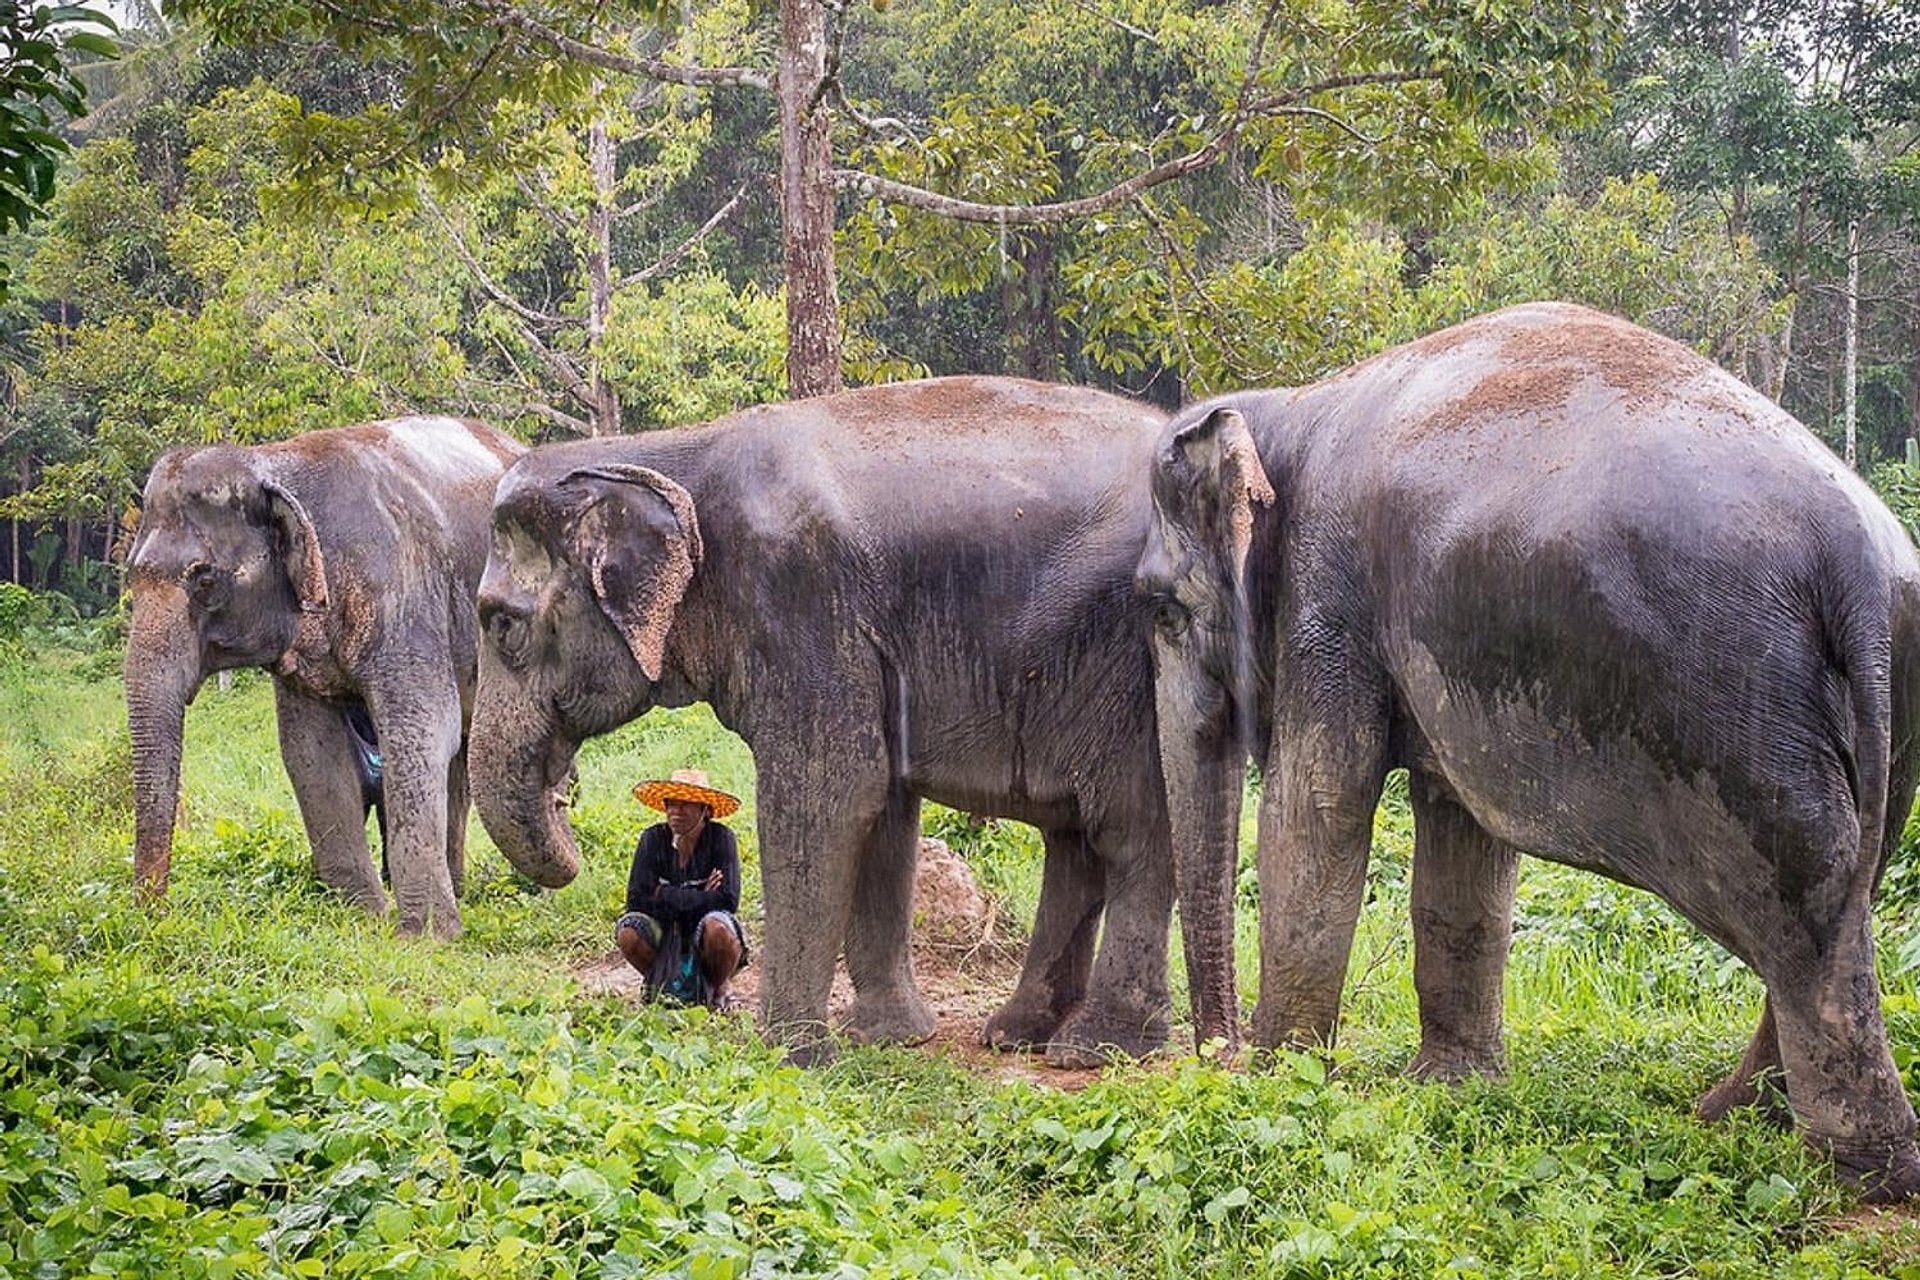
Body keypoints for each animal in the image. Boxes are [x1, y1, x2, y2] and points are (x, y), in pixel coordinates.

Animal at [126, 415, 524, 938]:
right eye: (131, 577)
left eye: (204, 579)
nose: (156, 916)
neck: (271, 462)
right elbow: (311, 753)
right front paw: (365, 920)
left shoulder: (403, 597)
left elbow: (419, 732)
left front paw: (428, 938)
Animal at [469, 377, 1179, 1064]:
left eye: (501, 624)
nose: (565, 806)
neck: (661, 453)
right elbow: (885, 812)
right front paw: (885, 1039)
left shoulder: (801, 604)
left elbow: (824, 800)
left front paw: (794, 1055)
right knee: (1075, 840)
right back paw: (1019, 1036)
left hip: (1137, 673)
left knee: (1131, 831)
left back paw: (1095, 1051)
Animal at [1136, 301, 1920, 1200]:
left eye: (1159, 609)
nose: (1215, 1058)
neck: (1288, 407)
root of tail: (1858, 561)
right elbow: (1462, 842)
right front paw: (1451, 1088)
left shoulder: (1328, 602)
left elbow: (1318, 814)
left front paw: (1279, 1083)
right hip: (1891, 702)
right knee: (1851, 890)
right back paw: (1732, 1114)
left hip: (1748, 711)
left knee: (1807, 914)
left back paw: (1854, 1175)